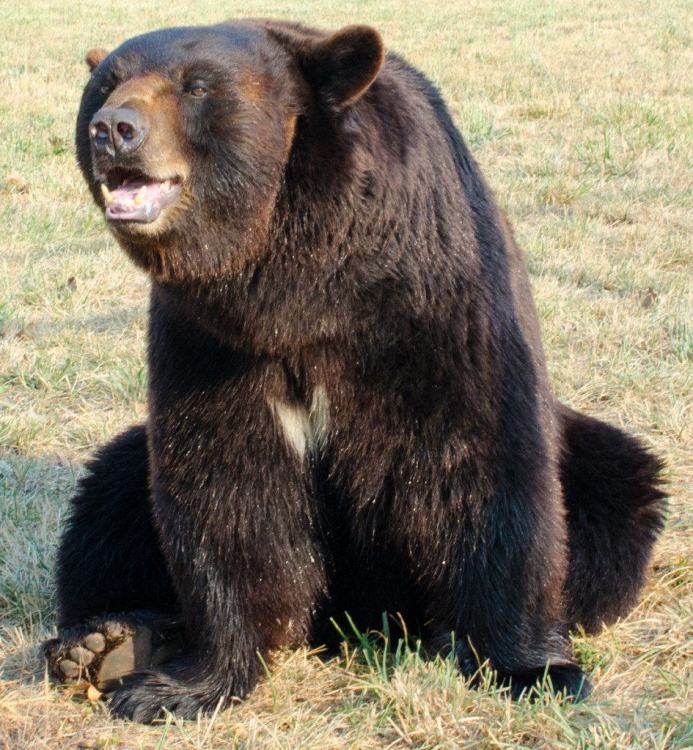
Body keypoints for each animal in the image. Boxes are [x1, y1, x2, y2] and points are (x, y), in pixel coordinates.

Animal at [43, 19, 666, 723]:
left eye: (197, 86)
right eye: (107, 84)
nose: (114, 128)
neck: (301, 281)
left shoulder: (432, 296)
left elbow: (479, 462)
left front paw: (532, 668)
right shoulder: (210, 341)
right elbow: (226, 484)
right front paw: (181, 685)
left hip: (595, 463)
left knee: (614, 492)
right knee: (111, 497)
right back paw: (106, 639)